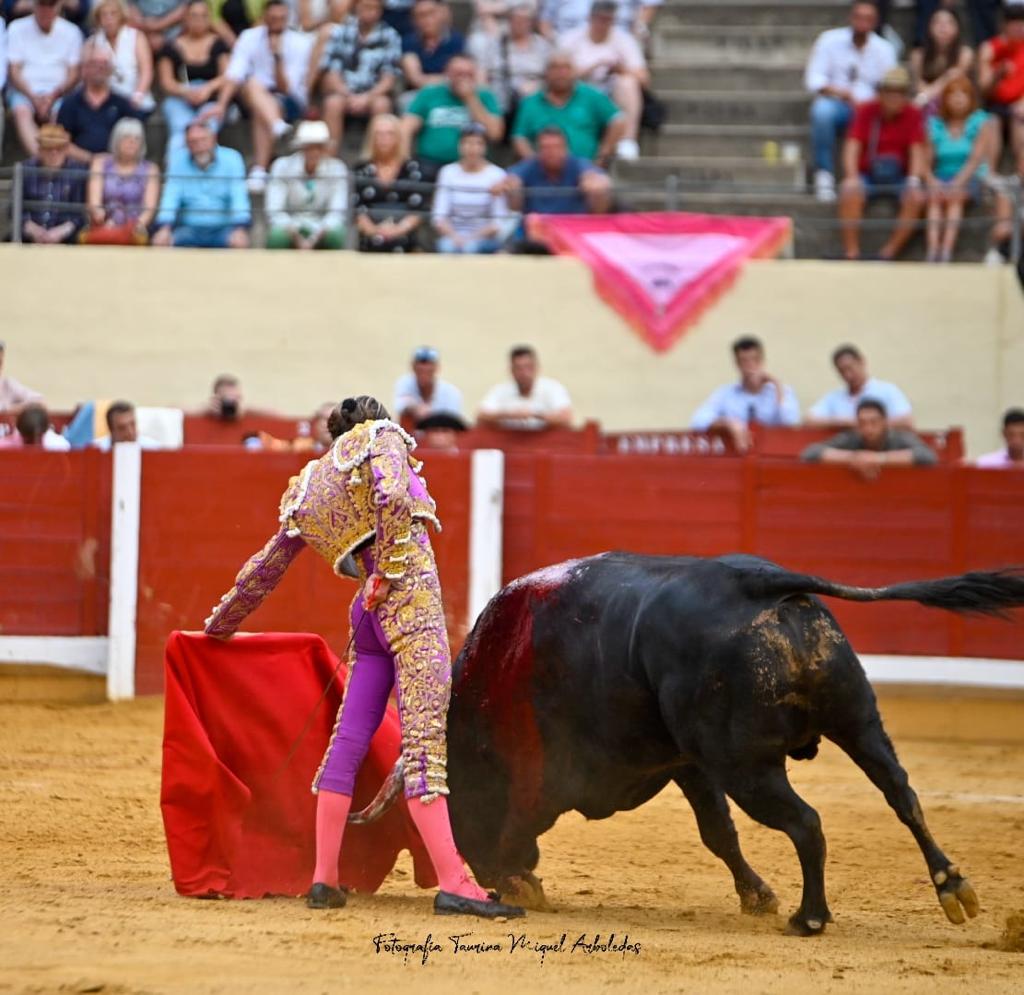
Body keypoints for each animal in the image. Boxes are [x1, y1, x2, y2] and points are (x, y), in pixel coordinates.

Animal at [354, 552, 1024, 933]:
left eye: (458, 806)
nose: (489, 876)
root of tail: (756, 581)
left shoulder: (547, 766)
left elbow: (520, 814)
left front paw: (522, 885)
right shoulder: (688, 761)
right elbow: (717, 833)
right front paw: (757, 896)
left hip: (748, 765)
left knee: (807, 822)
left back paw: (811, 917)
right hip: (856, 719)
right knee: (900, 794)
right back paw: (953, 888)